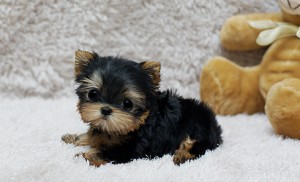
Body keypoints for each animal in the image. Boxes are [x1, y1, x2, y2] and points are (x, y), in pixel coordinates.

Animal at [61, 50, 223, 166]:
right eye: (93, 94)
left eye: (127, 104)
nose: (106, 110)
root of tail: (215, 125)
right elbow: (93, 136)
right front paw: (74, 138)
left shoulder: (131, 149)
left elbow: (105, 153)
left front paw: (83, 156)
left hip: (198, 129)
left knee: (197, 146)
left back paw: (182, 155)